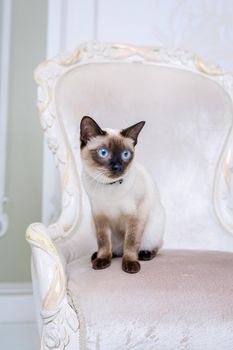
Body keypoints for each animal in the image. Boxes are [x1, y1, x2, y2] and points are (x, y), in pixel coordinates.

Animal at [80, 116, 166, 272]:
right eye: (103, 153)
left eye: (125, 154)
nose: (118, 167)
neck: (110, 186)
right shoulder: (99, 216)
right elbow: (103, 242)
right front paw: (102, 260)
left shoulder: (135, 216)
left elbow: (131, 242)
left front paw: (130, 264)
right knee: (115, 249)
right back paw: (99, 256)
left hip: (153, 228)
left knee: (157, 244)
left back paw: (145, 254)